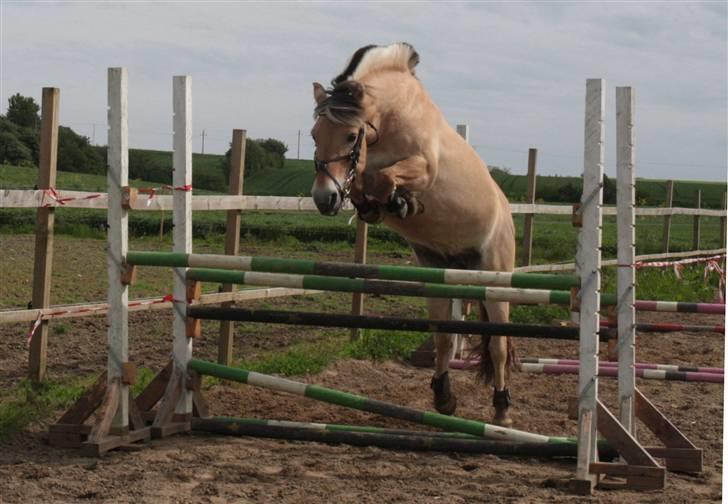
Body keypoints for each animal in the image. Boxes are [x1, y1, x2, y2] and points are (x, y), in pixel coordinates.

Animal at [308, 43, 516, 426]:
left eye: (349, 136)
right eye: (314, 135)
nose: (324, 198)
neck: (389, 118)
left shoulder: (424, 168)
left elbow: (385, 178)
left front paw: (401, 202)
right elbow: (364, 182)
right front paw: (373, 206)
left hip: (494, 278)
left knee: (497, 344)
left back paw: (501, 409)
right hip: (440, 272)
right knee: (445, 338)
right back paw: (444, 398)